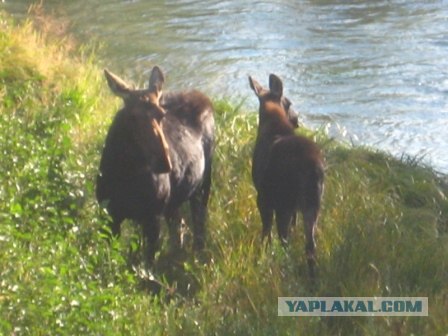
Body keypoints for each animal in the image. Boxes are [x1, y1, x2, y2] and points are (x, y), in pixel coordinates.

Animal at [97, 65, 215, 266]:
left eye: (162, 114)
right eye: (132, 117)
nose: (164, 162)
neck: (125, 174)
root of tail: (204, 97)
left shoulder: (152, 217)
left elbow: (148, 264)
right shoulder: (110, 214)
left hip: (203, 183)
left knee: (199, 224)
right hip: (175, 200)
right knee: (179, 225)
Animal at [248, 74, 326, 278]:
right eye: (289, 102)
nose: (297, 120)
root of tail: (312, 167)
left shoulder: (264, 197)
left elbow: (266, 233)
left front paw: (261, 254)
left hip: (284, 201)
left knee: (284, 241)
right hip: (311, 204)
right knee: (310, 246)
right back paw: (312, 278)